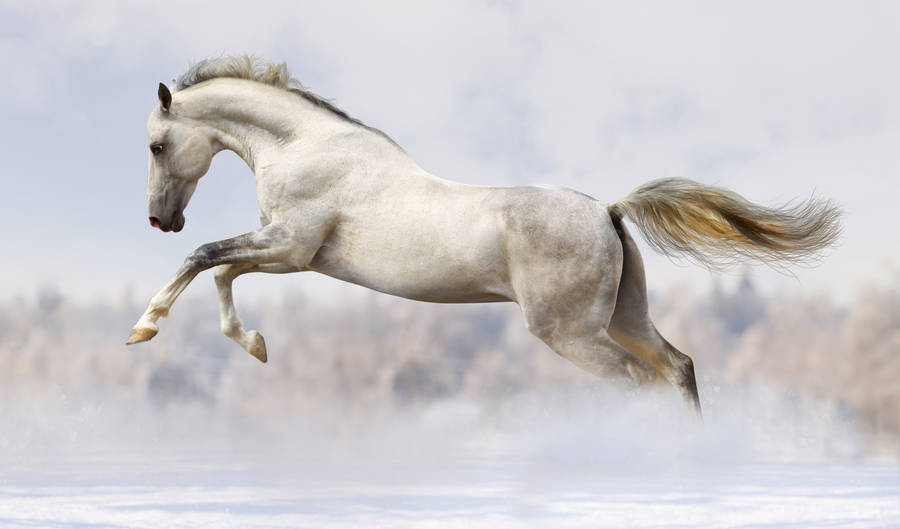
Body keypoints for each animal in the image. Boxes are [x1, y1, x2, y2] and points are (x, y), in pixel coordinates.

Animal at [126, 56, 841, 413]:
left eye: (158, 145)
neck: (306, 146)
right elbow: (221, 269)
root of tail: (608, 210)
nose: (161, 219)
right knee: (677, 368)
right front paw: (255, 346)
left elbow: (205, 257)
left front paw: (144, 328)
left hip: (570, 333)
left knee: (639, 382)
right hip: (624, 317)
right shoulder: (290, 253)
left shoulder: (291, 246)